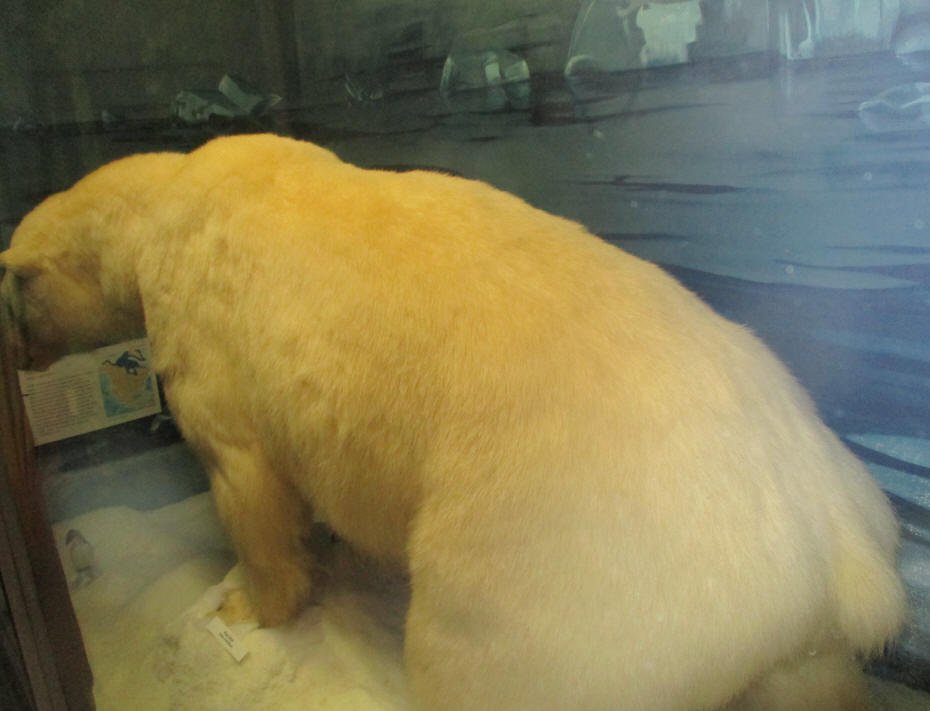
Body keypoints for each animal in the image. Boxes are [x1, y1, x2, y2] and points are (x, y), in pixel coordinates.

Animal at [0, 133, 905, 710]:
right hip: (798, 630)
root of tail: (836, 553)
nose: (18, 353)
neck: (171, 198)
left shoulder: (204, 333)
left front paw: (243, 607)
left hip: (565, 561)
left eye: (12, 291)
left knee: (477, 658)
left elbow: (246, 479)